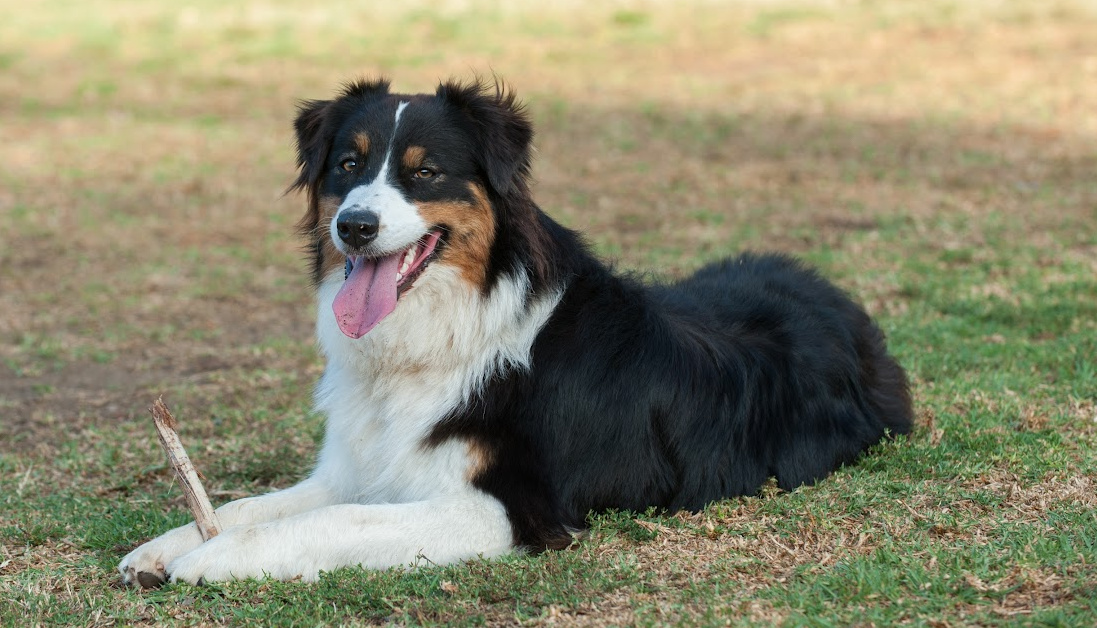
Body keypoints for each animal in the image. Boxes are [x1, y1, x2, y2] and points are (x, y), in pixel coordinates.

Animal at [120, 77, 912, 584]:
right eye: (347, 164)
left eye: (425, 172)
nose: (355, 226)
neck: (444, 333)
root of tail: (837, 299)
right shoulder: (359, 469)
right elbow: (255, 505)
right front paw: (164, 546)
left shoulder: (506, 509)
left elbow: (330, 524)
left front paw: (214, 558)